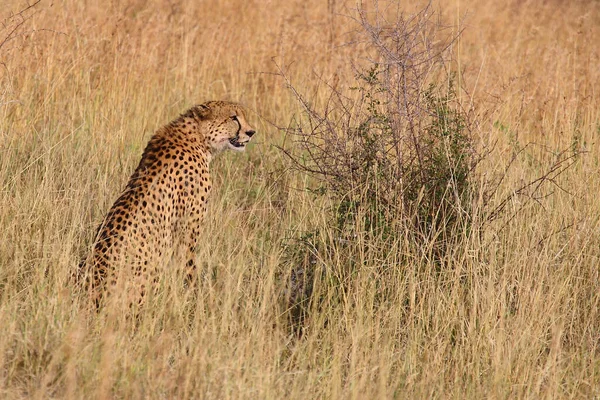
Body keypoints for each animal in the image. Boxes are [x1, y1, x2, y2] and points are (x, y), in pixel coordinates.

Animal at [77, 100, 255, 306]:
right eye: (233, 117)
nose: (251, 132)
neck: (199, 137)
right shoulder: (187, 232)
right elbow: (189, 267)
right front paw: (196, 299)